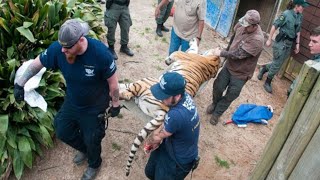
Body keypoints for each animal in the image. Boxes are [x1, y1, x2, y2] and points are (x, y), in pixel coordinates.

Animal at [119, 46, 220, 176]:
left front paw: (168, 59)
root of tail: (164, 111)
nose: (219, 47)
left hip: (146, 82)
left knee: (126, 93)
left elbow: (181, 51)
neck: (212, 64)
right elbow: (194, 48)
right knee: (126, 88)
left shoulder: (183, 54)